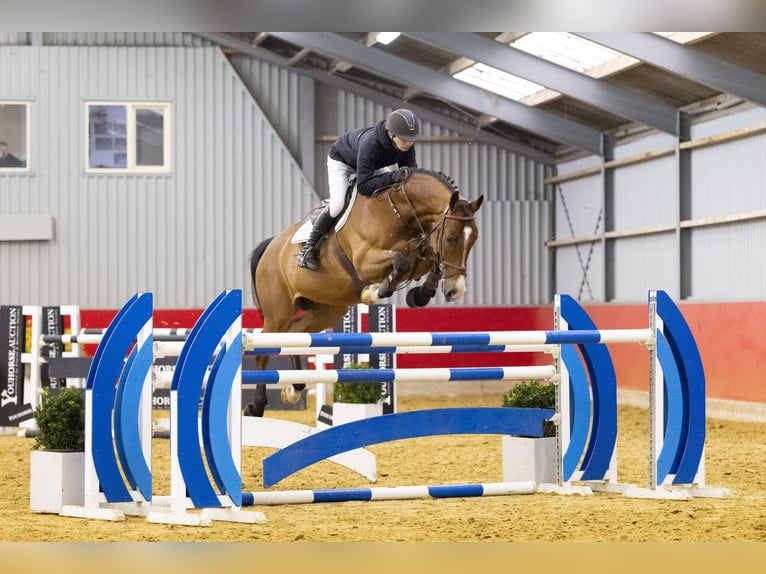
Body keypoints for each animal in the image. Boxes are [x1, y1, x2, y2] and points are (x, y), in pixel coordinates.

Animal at [244, 168, 484, 416]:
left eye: (474, 239)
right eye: (450, 238)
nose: (456, 291)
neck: (400, 210)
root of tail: (271, 246)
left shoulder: (421, 251)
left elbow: (427, 259)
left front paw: (420, 294)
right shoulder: (365, 261)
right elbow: (401, 261)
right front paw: (375, 291)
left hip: (325, 311)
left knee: (294, 334)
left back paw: (294, 388)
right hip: (278, 313)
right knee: (263, 349)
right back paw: (256, 406)